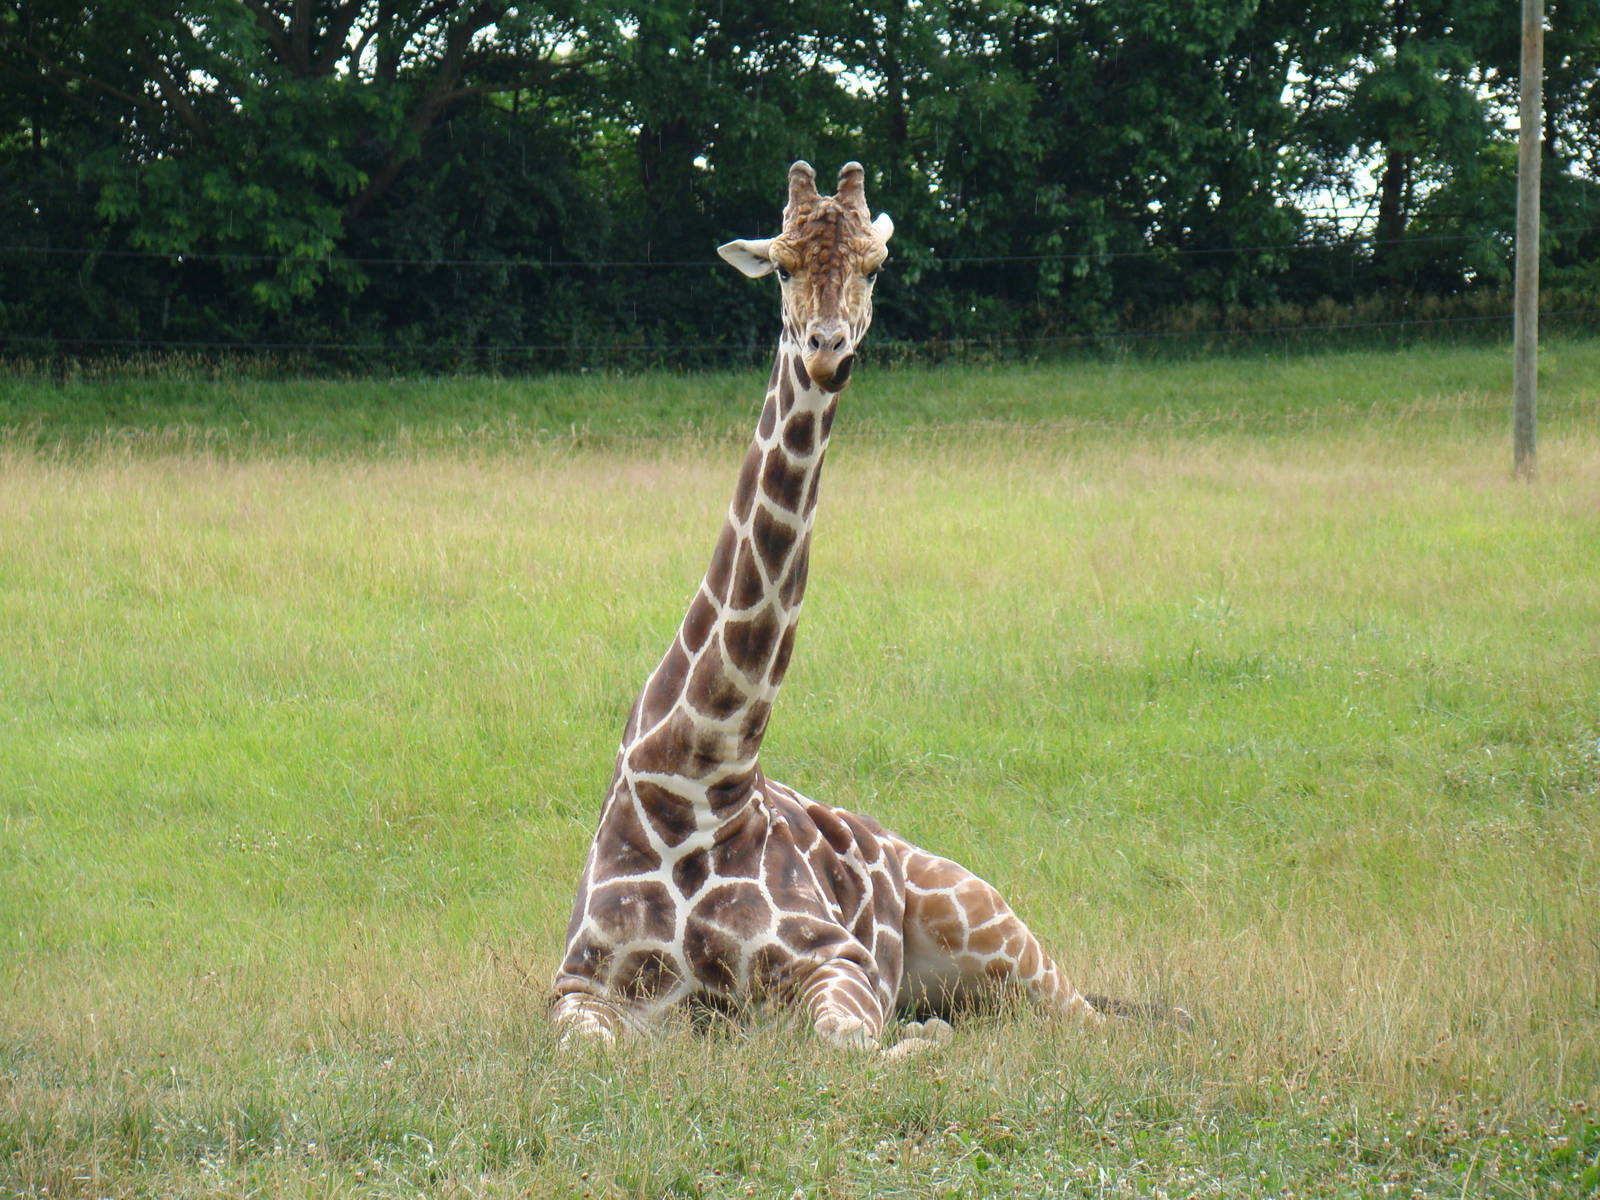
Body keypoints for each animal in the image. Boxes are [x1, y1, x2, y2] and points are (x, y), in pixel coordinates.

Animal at [549, 160, 1107, 1054]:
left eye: (873, 268)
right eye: (781, 267)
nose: (827, 351)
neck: (698, 779)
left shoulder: (836, 959)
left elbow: (846, 1045)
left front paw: (918, 1044)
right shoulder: (579, 981)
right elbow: (591, 1051)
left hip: (989, 925)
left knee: (1093, 1018)